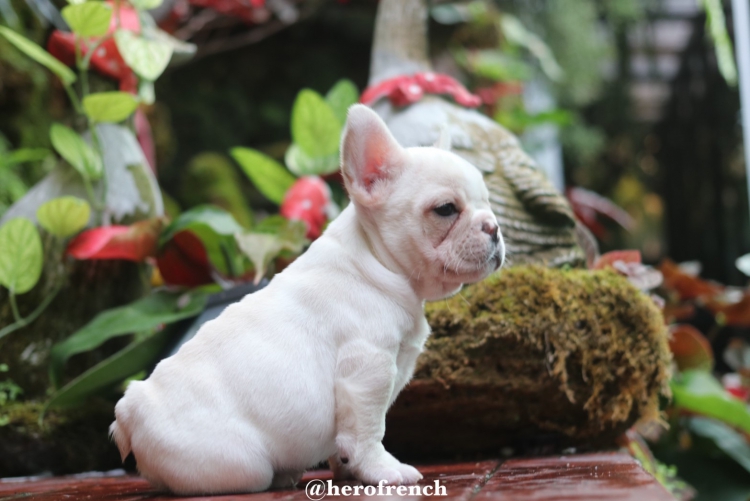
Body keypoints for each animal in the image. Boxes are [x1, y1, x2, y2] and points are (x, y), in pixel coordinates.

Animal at [110, 104, 504, 495]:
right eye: (446, 209)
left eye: (488, 203)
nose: (494, 226)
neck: (376, 262)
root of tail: (131, 410)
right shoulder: (367, 372)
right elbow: (368, 431)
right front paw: (383, 470)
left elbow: (345, 439)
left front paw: (347, 470)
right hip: (241, 462)